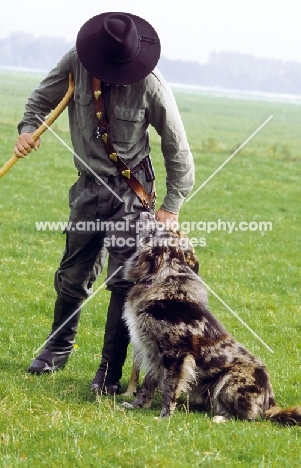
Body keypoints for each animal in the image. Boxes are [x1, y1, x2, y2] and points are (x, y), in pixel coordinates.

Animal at [121, 214, 300, 426]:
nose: (146, 213)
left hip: (230, 380)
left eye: (158, 227)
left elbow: (169, 388)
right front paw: (135, 405)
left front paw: (165, 416)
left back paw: (221, 418)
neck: (162, 276)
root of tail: (270, 404)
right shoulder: (153, 352)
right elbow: (147, 385)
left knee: (249, 417)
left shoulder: (175, 354)